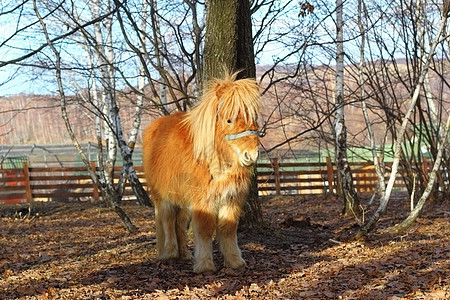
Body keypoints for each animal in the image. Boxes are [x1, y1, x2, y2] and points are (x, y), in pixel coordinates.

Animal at [142, 72, 262, 274]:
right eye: (229, 120)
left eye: (253, 118)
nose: (250, 155)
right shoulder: (203, 199)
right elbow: (205, 229)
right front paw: (205, 265)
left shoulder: (231, 198)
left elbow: (228, 228)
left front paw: (235, 261)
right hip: (162, 196)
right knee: (167, 220)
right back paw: (170, 254)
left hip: (182, 200)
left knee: (179, 223)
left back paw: (184, 254)